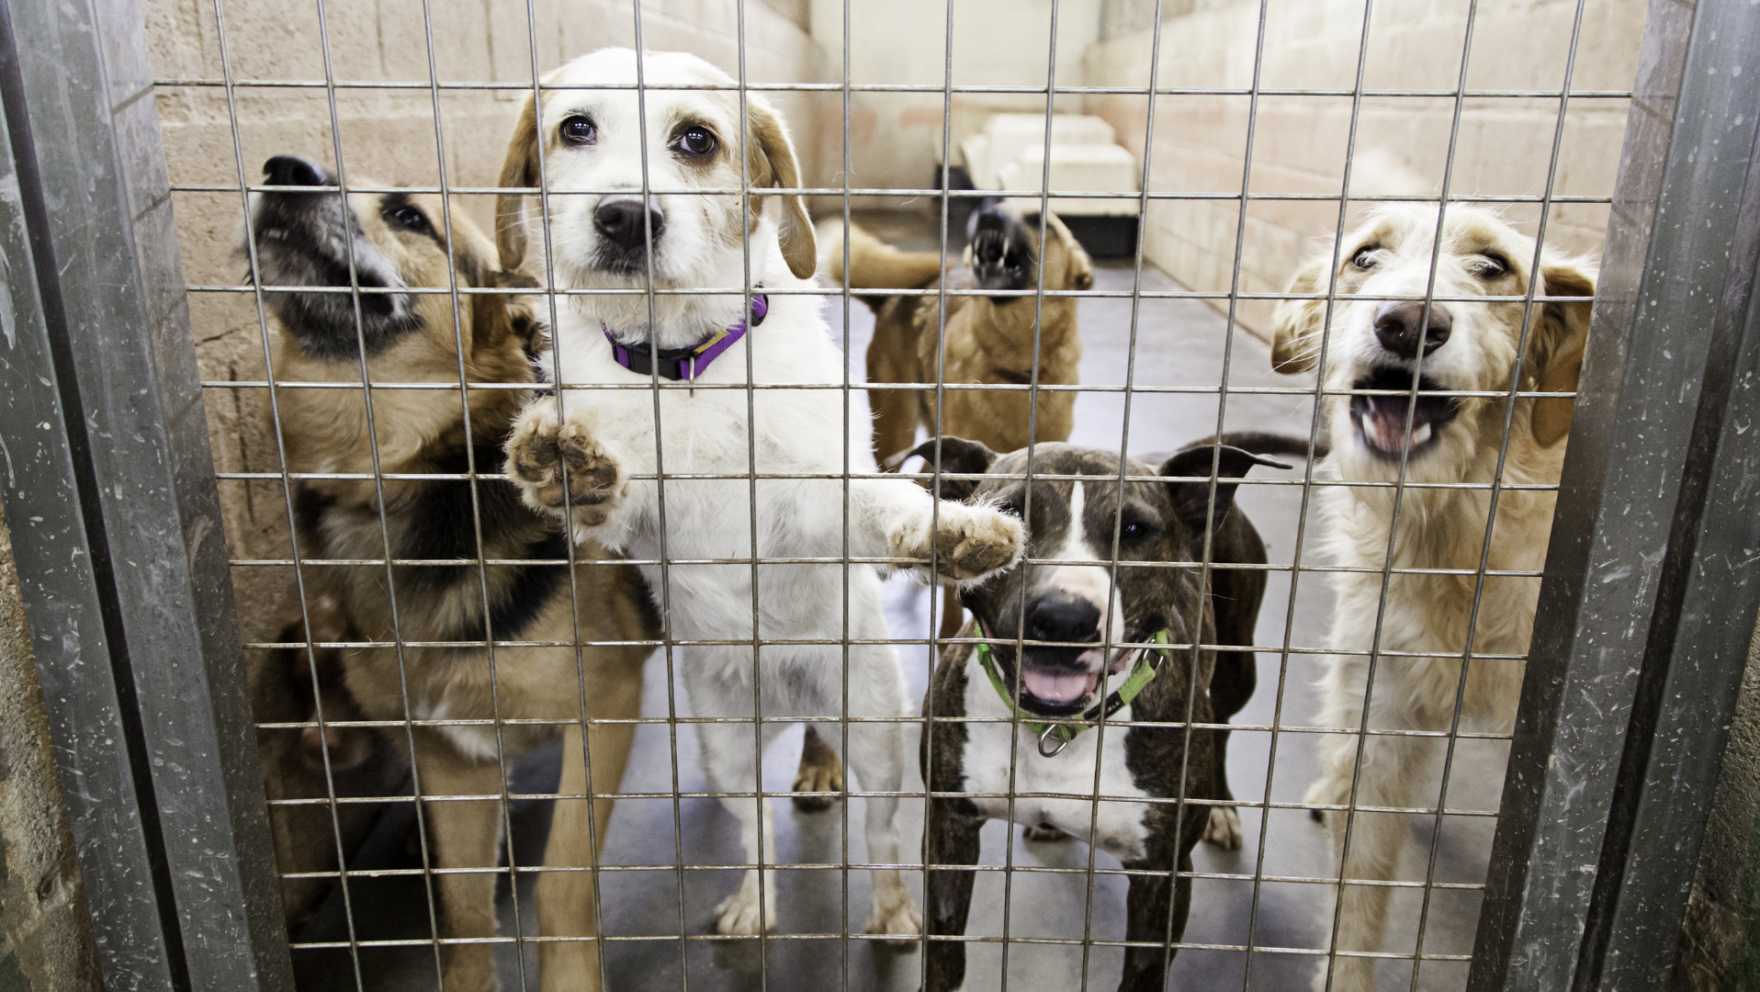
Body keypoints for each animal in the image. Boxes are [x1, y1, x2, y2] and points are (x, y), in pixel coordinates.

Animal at [492, 48, 1020, 942]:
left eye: (697, 139)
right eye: (575, 128)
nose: (625, 217)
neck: (688, 366)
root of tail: (783, 700)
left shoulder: (815, 495)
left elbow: (881, 509)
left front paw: (948, 531)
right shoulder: (639, 510)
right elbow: (607, 489)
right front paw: (565, 465)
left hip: (877, 736)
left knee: (880, 835)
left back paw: (892, 906)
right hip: (725, 748)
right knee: (757, 830)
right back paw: (756, 901)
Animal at [908, 434, 1309, 992]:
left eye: (1135, 531)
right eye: (1011, 515)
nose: (1063, 619)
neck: (1059, 728)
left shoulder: (1163, 874)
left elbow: (1142, 972)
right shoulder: (949, 831)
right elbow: (945, 952)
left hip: (1237, 665)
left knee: (1224, 721)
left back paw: (1223, 808)